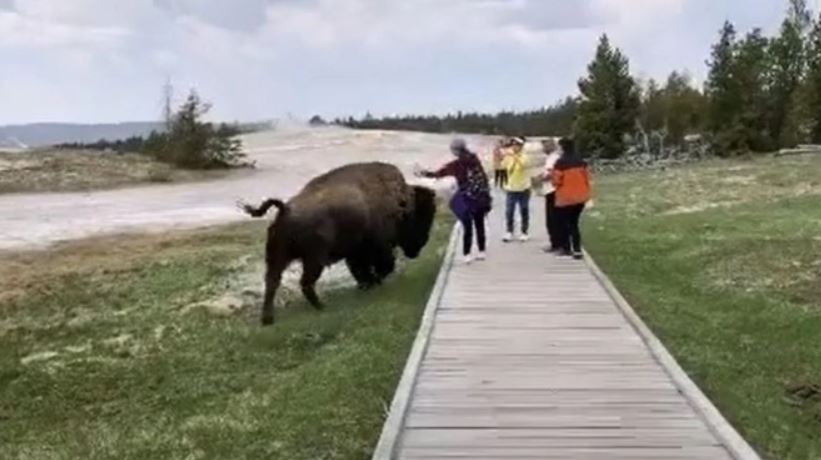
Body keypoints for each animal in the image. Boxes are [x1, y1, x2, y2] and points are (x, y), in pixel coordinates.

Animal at [240, 162, 438, 324]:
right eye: (421, 216)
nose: (422, 243)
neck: (400, 202)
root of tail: (285, 209)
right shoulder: (378, 248)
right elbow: (383, 267)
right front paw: (373, 282)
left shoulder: (356, 254)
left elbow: (362, 270)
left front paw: (366, 285)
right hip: (314, 260)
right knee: (305, 283)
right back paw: (321, 306)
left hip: (278, 257)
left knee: (272, 282)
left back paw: (268, 319)